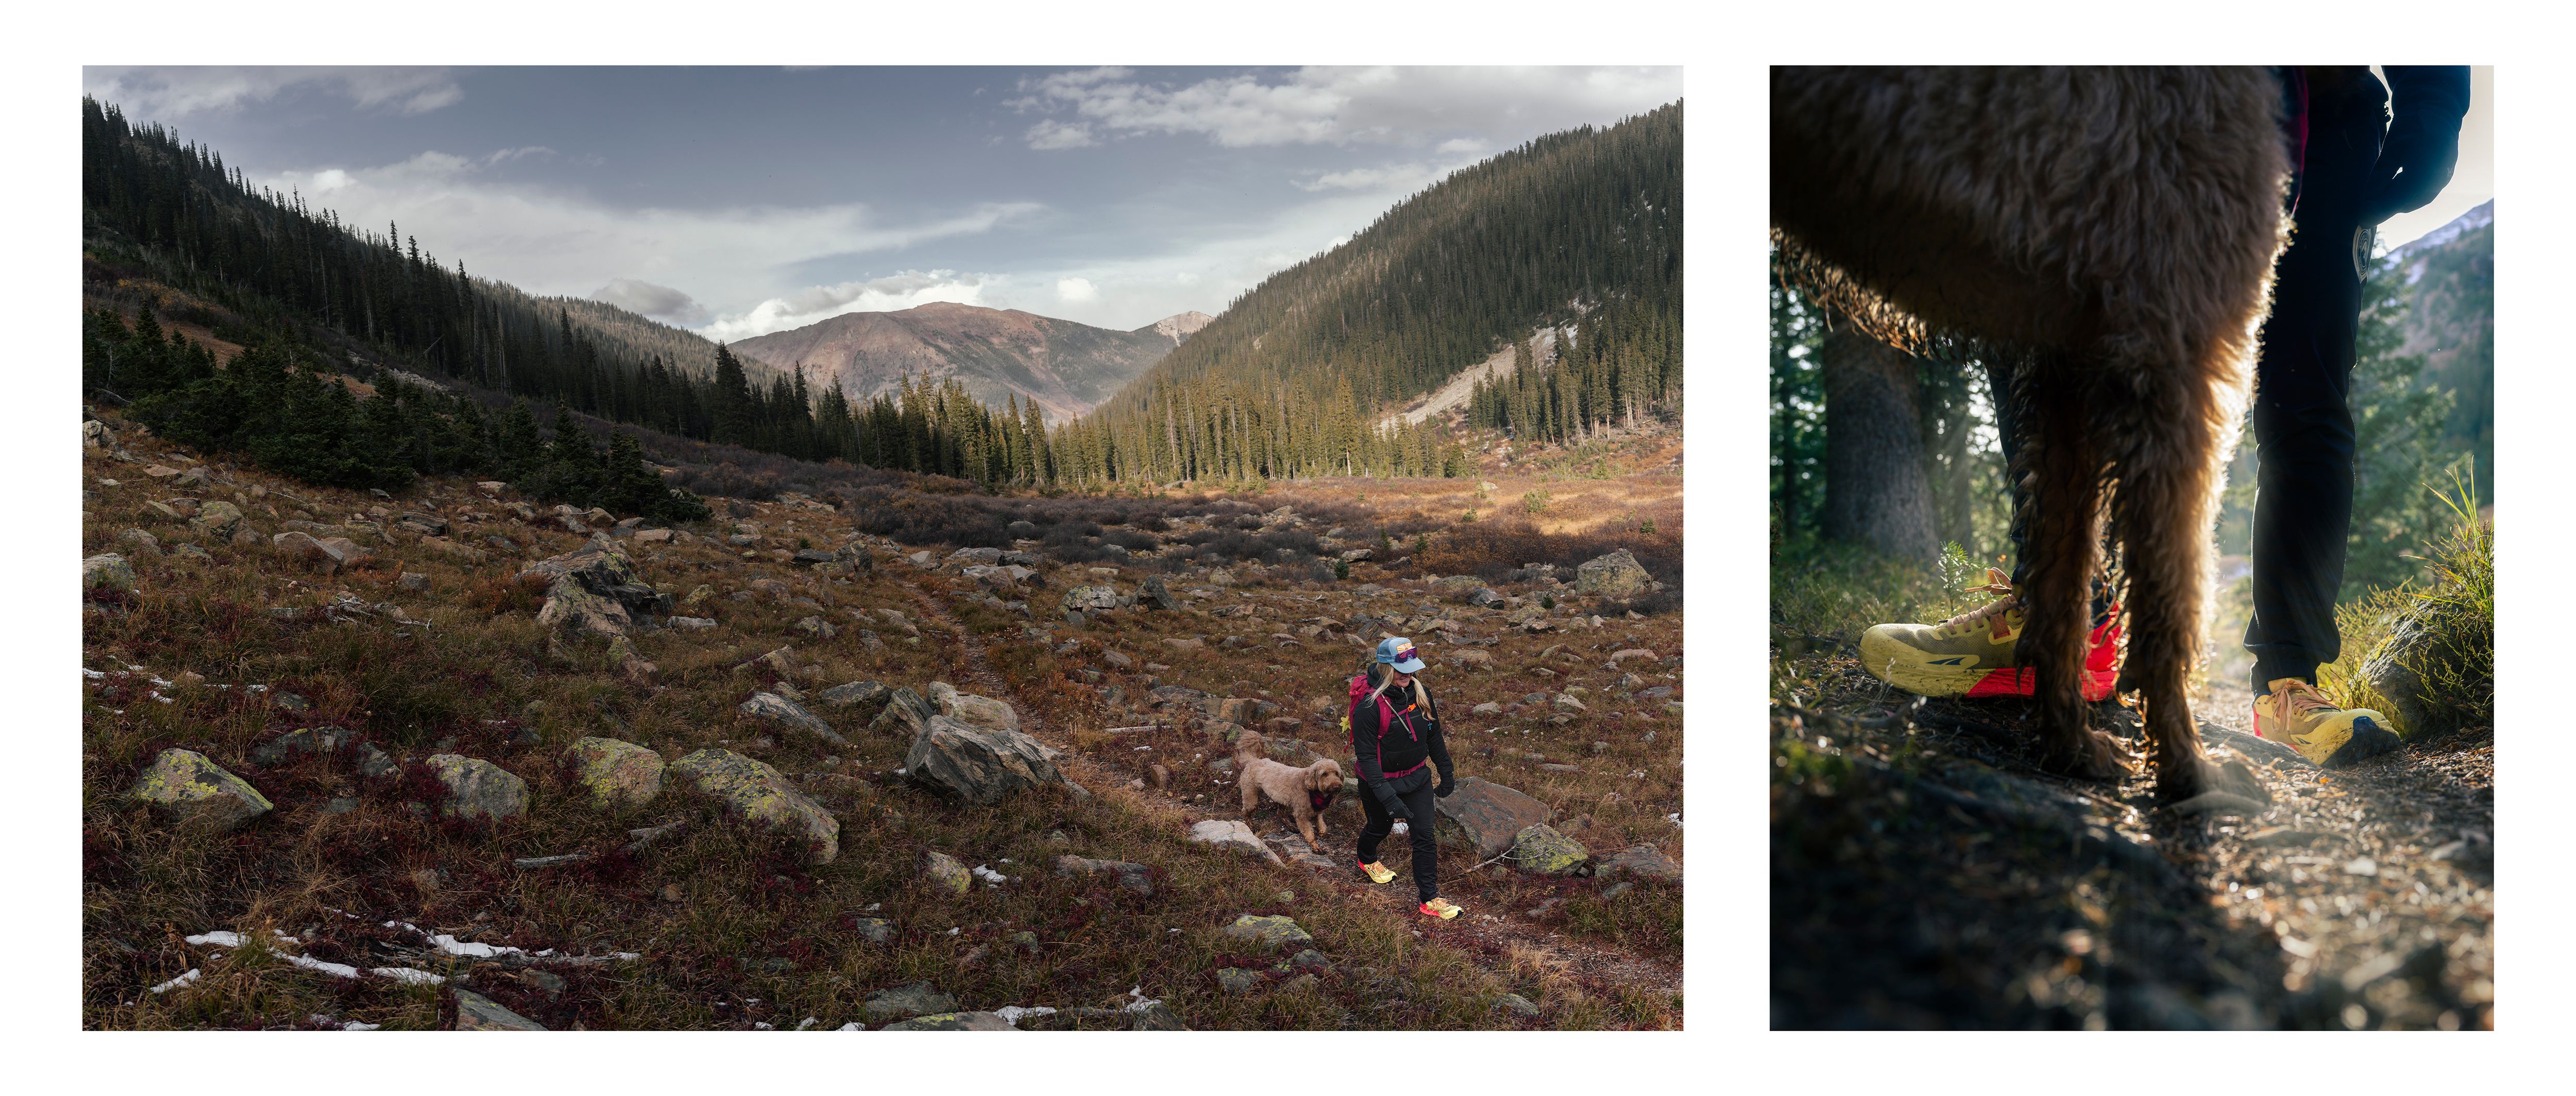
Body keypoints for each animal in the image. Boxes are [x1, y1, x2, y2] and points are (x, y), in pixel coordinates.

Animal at [1231, 725, 1350, 849]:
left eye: (1336, 773)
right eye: (1324, 774)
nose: (1336, 786)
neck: (1311, 788)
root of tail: (1253, 760)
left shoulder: (1317, 812)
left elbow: (1322, 825)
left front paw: (1322, 832)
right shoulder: (1301, 815)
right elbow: (1308, 832)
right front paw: (1315, 845)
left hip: (1283, 800)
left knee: (1280, 814)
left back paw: (1291, 826)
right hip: (1251, 796)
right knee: (1245, 812)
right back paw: (1251, 825)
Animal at [1772, 68, 2277, 802]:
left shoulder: (2071, 371)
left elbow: (2060, 581)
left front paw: (2070, 745)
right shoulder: (2173, 352)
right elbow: (2171, 593)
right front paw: (2190, 768)